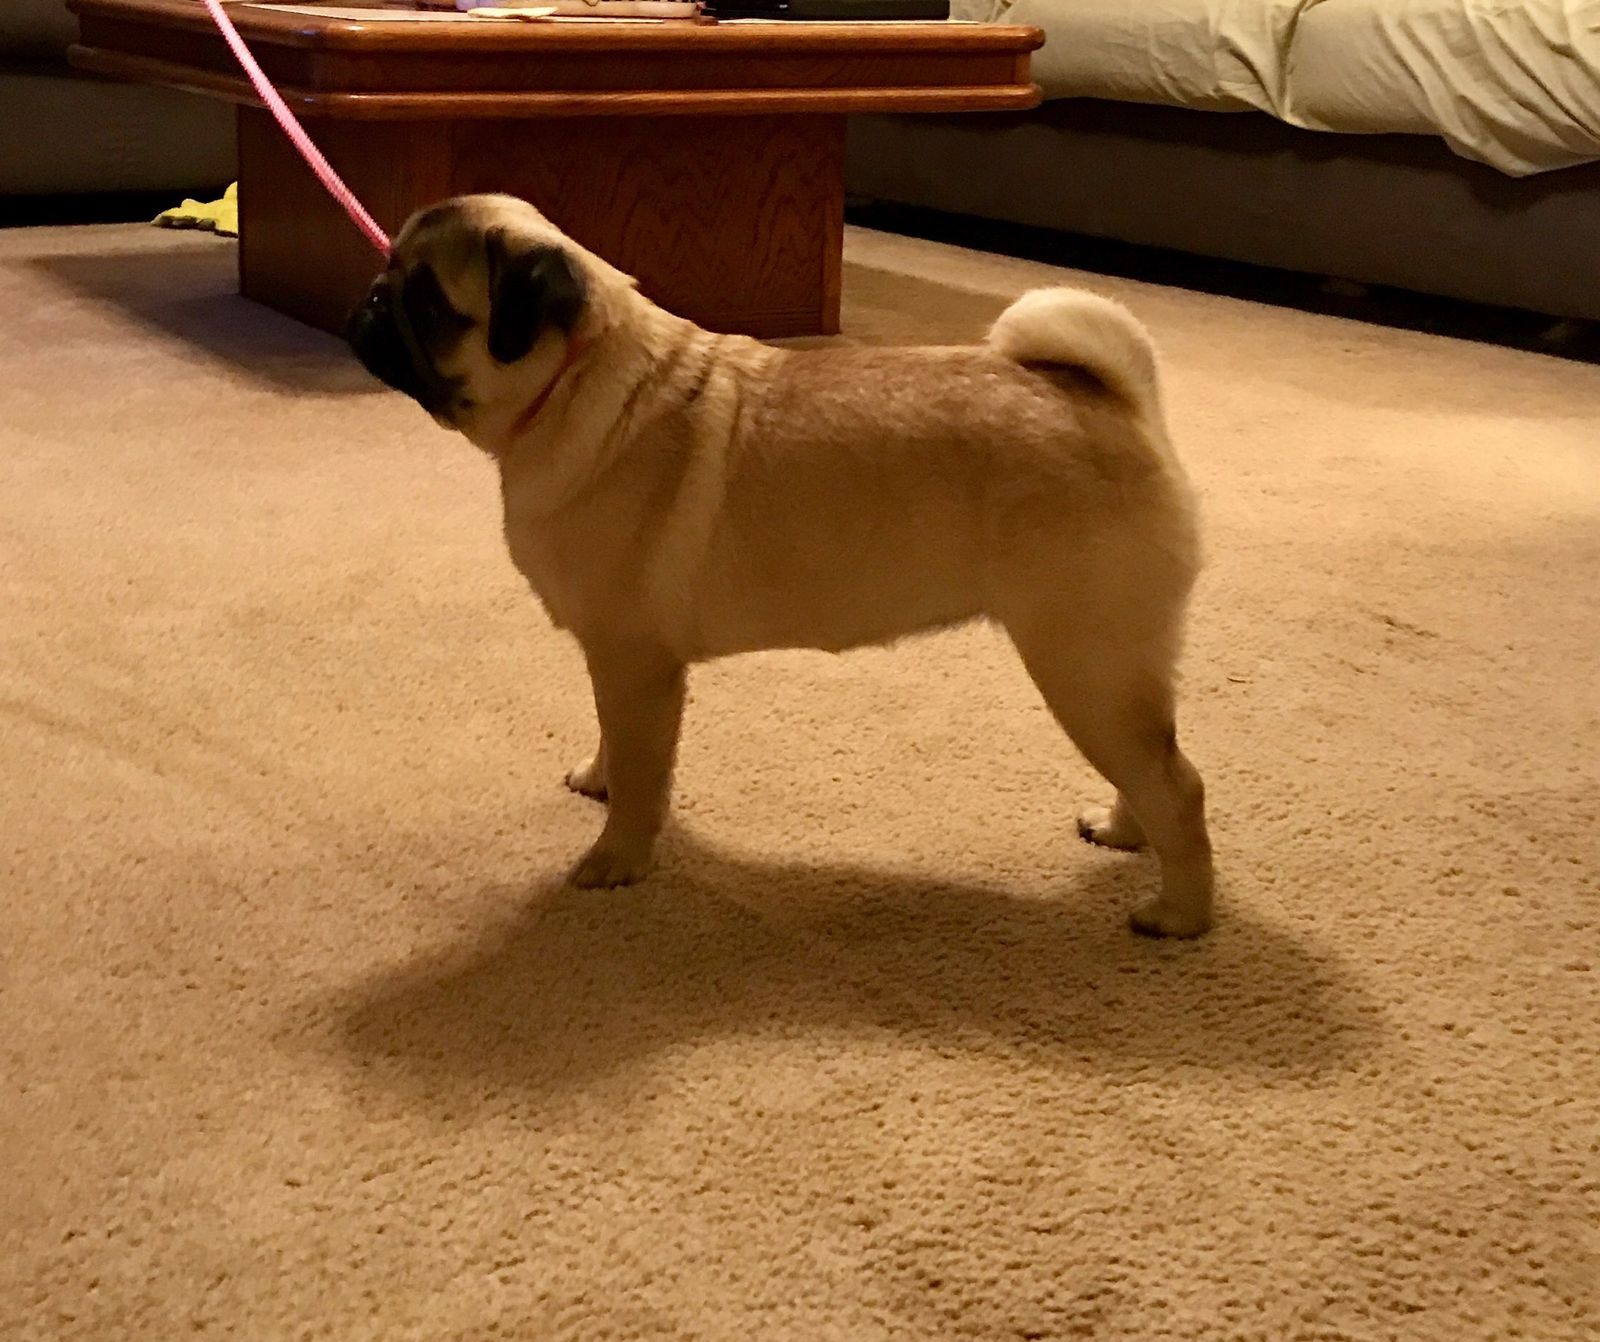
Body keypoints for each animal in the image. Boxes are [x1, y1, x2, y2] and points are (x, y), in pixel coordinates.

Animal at [348, 193, 1214, 937]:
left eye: (428, 304)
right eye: (389, 273)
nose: (369, 300)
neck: (575, 380)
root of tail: (1114, 403)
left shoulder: (635, 665)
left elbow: (642, 773)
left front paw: (617, 858)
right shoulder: (612, 664)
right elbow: (614, 743)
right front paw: (600, 780)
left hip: (1084, 666)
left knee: (1179, 786)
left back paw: (1179, 915)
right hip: (1112, 673)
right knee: (1155, 765)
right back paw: (1122, 833)